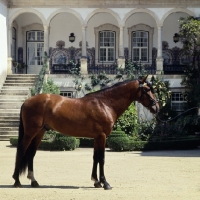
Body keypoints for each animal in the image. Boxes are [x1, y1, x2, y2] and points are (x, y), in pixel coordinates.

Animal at [12, 75, 159, 189]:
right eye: (147, 89)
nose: (156, 107)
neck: (105, 104)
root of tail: (26, 101)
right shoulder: (102, 136)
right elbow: (102, 158)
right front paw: (105, 183)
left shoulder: (97, 137)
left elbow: (95, 157)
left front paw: (96, 182)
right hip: (30, 132)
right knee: (21, 150)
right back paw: (17, 181)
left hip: (40, 132)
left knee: (31, 154)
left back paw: (34, 181)